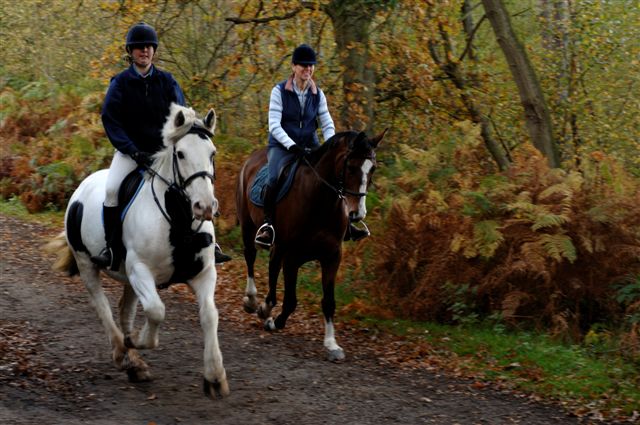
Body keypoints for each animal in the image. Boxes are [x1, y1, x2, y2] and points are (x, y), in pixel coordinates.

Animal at [49, 102, 230, 398]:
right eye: (180, 154)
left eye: (212, 153)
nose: (204, 206)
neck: (177, 220)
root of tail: (81, 188)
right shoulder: (140, 271)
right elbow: (156, 310)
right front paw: (137, 340)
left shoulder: (203, 273)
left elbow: (209, 316)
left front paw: (215, 377)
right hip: (89, 265)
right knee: (103, 308)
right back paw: (125, 355)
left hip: (128, 278)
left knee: (125, 309)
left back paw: (134, 363)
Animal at [236, 128, 382, 358]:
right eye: (350, 167)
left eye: (373, 168)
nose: (357, 214)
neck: (320, 201)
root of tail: (253, 157)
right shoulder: (293, 257)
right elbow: (290, 301)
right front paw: (274, 322)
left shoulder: (332, 257)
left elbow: (328, 302)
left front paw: (332, 344)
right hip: (248, 226)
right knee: (250, 256)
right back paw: (252, 301)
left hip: (279, 245)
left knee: (272, 265)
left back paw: (266, 306)